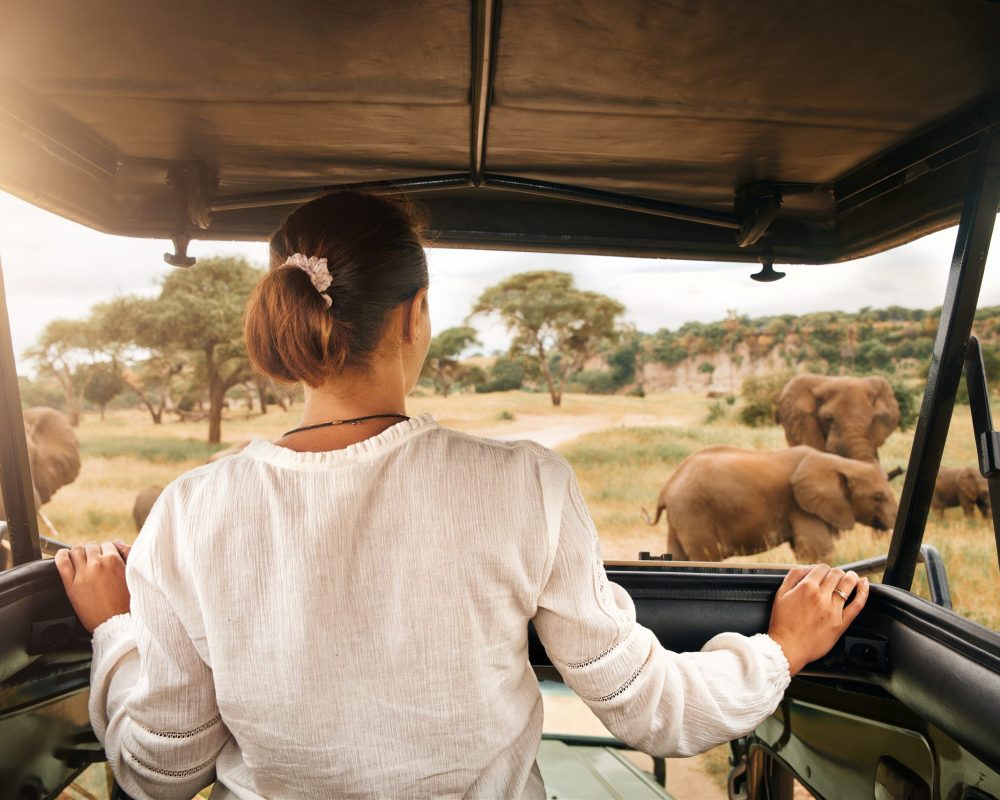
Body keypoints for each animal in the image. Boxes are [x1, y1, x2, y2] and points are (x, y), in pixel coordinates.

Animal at [642, 445, 898, 563]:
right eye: (878, 497)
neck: (840, 463)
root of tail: (667, 487)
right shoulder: (801, 506)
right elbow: (818, 552)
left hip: (681, 516)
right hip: (694, 512)